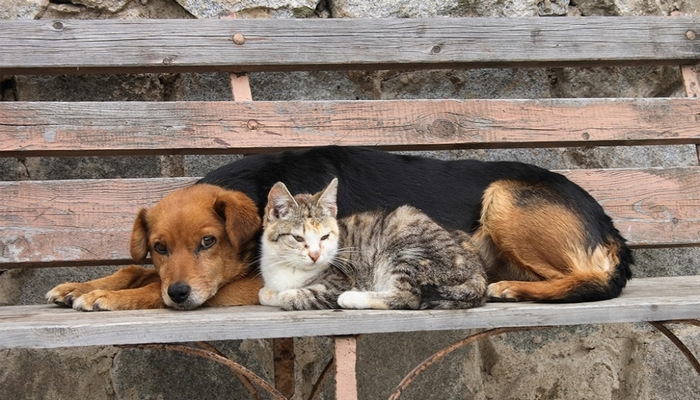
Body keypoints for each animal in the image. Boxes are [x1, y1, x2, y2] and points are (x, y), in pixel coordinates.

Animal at [258, 178, 486, 312]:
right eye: (298, 238)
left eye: (325, 237)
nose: (315, 255)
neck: (287, 267)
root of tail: (478, 271)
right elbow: (264, 293)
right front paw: (270, 293)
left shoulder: (338, 281)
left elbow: (291, 296)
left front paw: (285, 295)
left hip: (408, 248)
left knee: (408, 296)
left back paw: (352, 298)